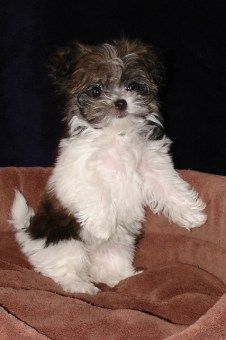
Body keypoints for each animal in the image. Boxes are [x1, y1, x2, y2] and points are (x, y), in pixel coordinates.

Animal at [10, 39, 207, 294]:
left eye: (133, 85)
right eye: (96, 90)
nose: (120, 102)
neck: (117, 134)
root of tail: (30, 231)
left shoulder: (152, 162)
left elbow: (168, 185)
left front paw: (191, 215)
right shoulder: (77, 169)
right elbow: (94, 190)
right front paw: (101, 225)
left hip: (118, 245)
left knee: (109, 262)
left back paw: (122, 278)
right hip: (66, 242)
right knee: (61, 269)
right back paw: (81, 286)